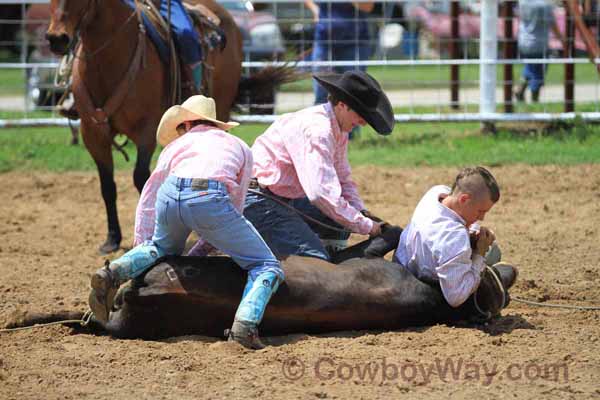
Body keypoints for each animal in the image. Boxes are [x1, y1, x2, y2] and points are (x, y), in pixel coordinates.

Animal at [45, 0, 282, 253]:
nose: (56, 39)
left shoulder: (147, 129)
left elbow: (142, 178)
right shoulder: (93, 134)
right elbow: (107, 186)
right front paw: (112, 239)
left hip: (222, 103)